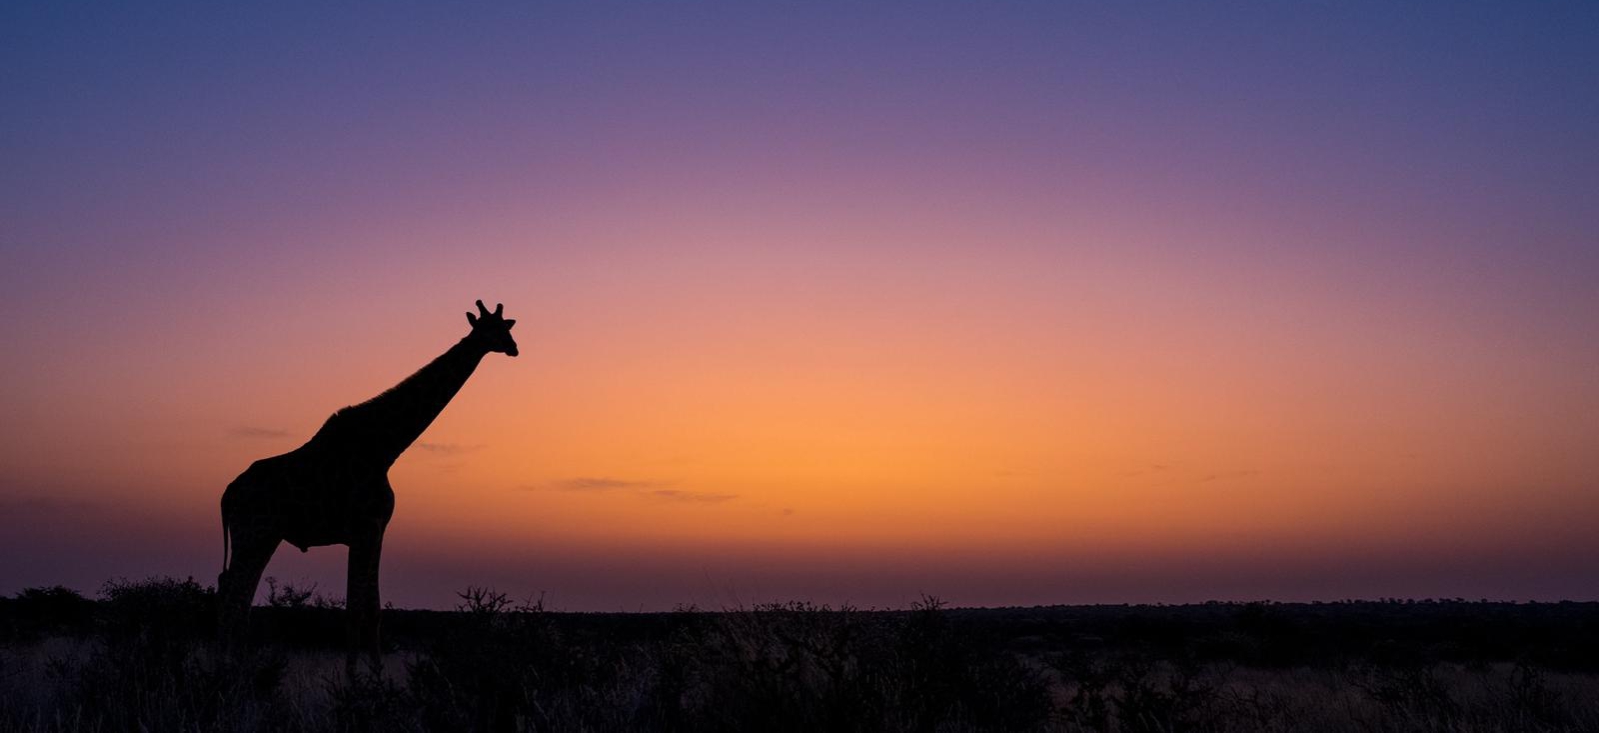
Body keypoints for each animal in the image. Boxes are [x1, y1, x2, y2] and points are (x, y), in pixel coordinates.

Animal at [217, 297, 518, 668]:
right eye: (491, 329)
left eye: (506, 326)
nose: (514, 347)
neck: (385, 448)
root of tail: (228, 493)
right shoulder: (364, 528)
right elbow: (356, 611)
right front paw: (355, 678)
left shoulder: (375, 531)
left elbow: (371, 611)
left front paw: (373, 674)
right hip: (254, 532)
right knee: (233, 595)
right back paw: (225, 669)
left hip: (264, 536)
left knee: (237, 595)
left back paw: (233, 665)